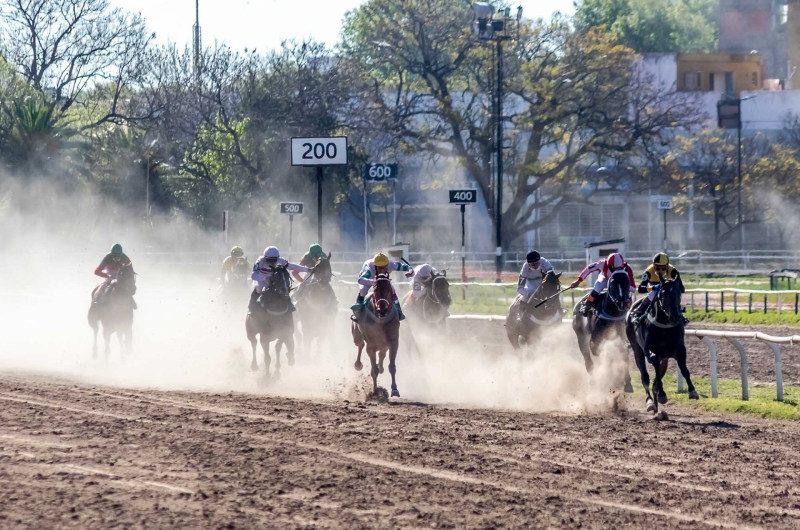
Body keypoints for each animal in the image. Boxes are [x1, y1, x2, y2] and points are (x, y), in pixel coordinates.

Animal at [624, 278, 700, 410]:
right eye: (663, 294)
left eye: (679, 293)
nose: (674, 317)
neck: (665, 326)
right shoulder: (650, 351)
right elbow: (655, 371)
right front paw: (661, 394)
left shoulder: (679, 349)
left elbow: (684, 369)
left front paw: (692, 391)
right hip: (636, 349)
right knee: (645, 376)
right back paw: (650, 401)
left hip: (664, 357)